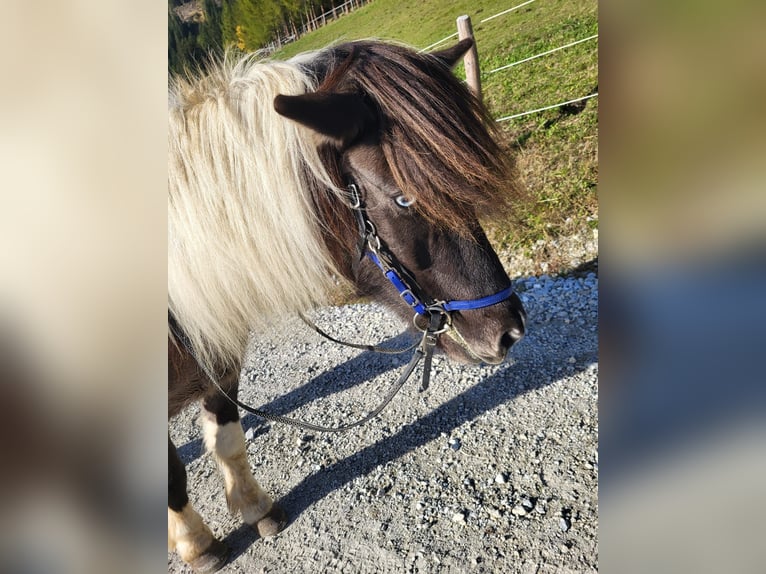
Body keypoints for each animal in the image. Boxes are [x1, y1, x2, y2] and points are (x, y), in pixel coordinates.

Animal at [168, 39, 527, 572]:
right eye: (403, 199)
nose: (510, 329)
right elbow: (172, 473)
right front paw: (197, 543)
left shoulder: (217, 352)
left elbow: (228, 437)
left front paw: (255, 508)